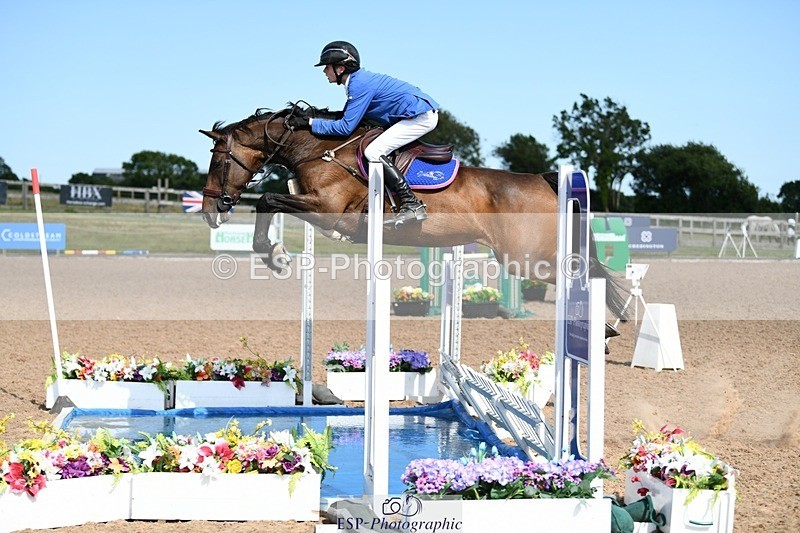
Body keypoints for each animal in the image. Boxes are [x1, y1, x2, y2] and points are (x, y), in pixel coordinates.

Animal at [199, 104, 627, 319]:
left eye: (219, 162)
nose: (208, 212)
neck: (316, 148)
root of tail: (542, 180)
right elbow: (271, 202)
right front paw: (275, 254)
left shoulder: (328, 210)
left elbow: (267, 200)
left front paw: (275, 256)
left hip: (522, 258)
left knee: (579, 273)